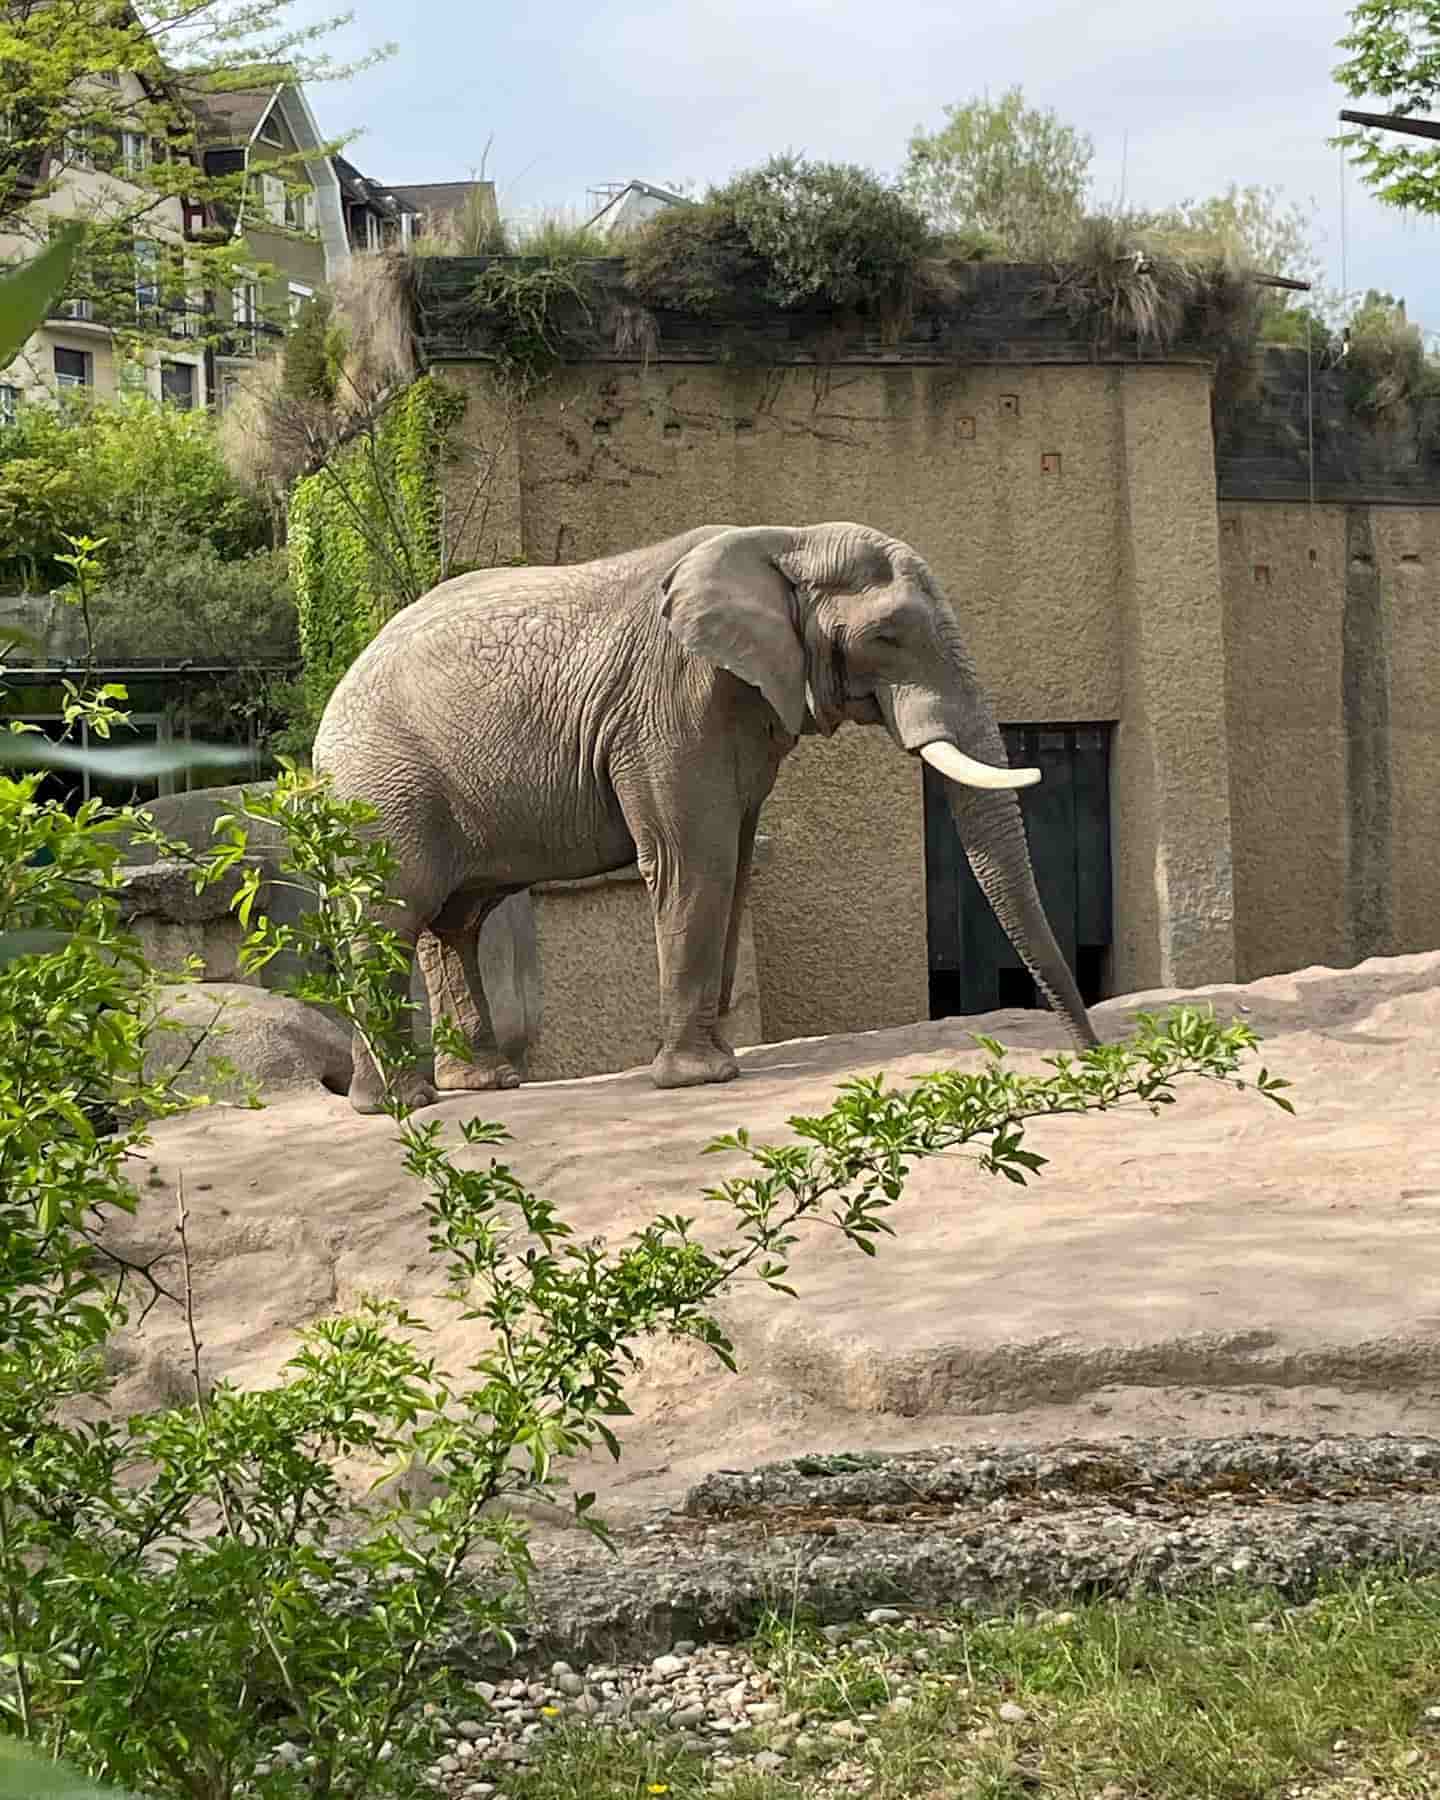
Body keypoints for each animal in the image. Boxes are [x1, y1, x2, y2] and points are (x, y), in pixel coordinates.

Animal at [313, 521, 1099, 1113]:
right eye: (889, 637)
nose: (1093, 1051)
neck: (789, 541)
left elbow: (739, 858)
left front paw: (718, 1059)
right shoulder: (673, 700)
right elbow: (697, 857)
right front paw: (705, 1078)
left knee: (452, 924)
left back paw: (467, 1087)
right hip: (381, 788)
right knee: (390, 915)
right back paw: (405, 1104)